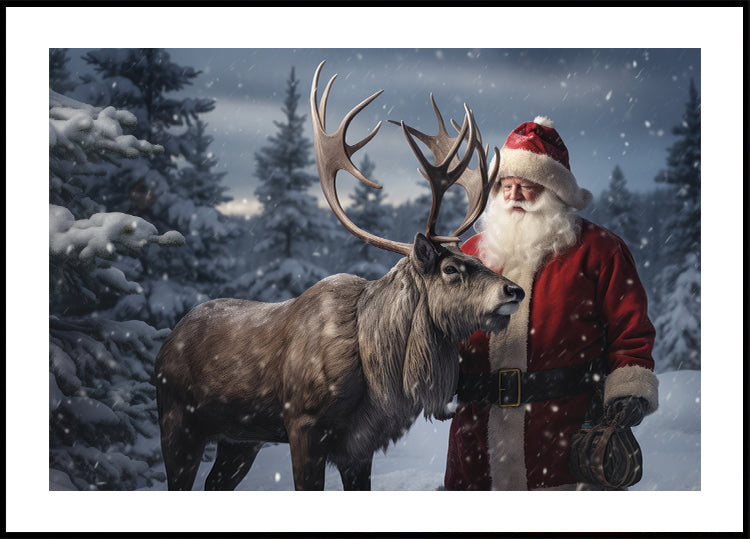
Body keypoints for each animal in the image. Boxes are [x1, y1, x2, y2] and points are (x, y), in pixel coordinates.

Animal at [154, 61, 525, 490]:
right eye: (450, 268)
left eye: (475, 258)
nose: (514, 290)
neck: (380, 373)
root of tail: (166, 342)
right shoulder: (303, 424)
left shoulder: (360, 445)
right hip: (177, 421)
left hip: (240, 439)